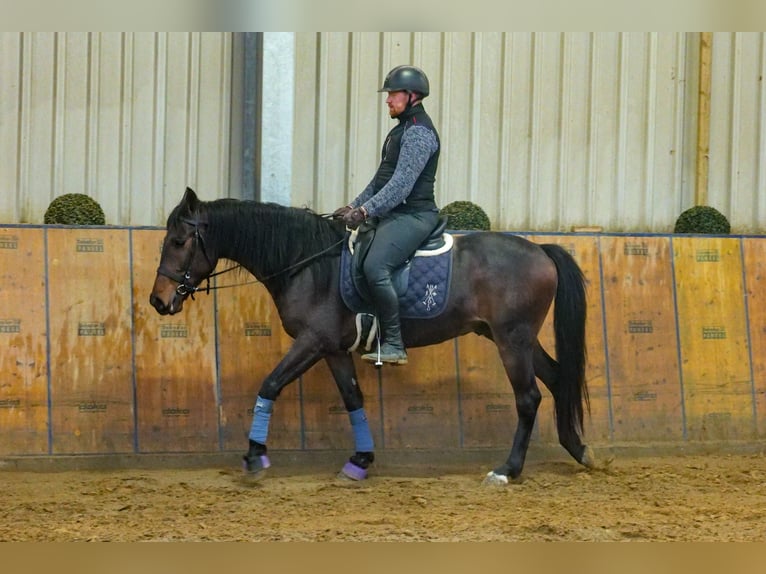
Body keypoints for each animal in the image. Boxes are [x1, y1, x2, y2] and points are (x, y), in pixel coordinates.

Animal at [147, 189, 596, 486]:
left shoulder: (311, 341)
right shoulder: (332, 349)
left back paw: (508, 470)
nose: (158, 300)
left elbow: (270, 384)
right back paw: (578, 449)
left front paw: (255, 456)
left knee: (529, 398)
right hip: (515, 338)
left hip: (511, 340)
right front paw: (361, 460)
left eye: (179, 241)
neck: (307, 263)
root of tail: (540, 250)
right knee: (557, 380)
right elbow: (352, 398)